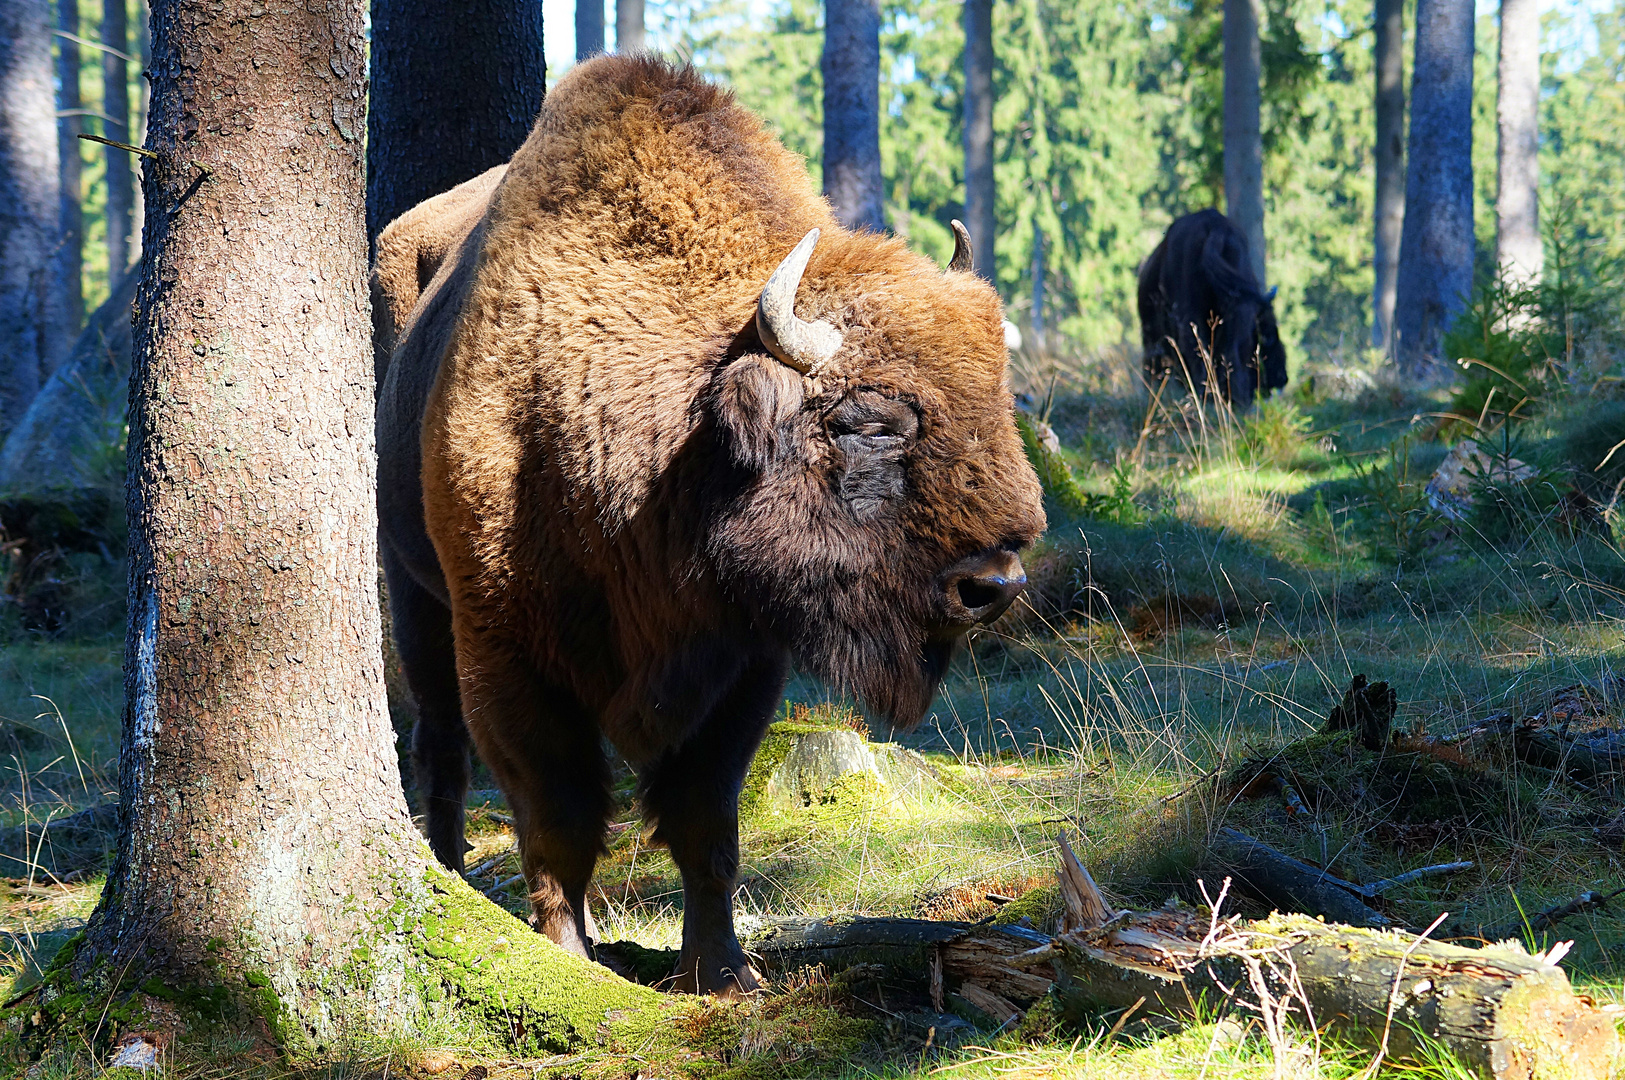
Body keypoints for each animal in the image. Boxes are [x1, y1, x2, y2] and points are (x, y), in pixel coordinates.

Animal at [373, 56, 1046, 993]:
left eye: (1000, 398)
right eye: (867, 422)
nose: (996, 583)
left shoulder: (742, 665)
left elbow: (704, 821)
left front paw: (722, 971)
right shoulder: (507, 651)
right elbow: (559, 812)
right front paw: (569, 958)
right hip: (415, 595)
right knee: (438, 745)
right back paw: (447, 868)